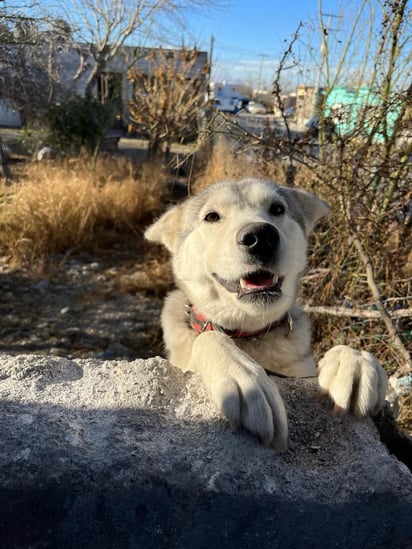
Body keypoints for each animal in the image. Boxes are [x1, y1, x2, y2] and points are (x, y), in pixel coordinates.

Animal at [145, 177, 386, 450]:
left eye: (277, 209)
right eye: (212, 216)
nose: (261, 236)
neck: (249, 332)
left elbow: (342, 353)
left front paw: (354, 361)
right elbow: (210, 337)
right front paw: (244, 373)